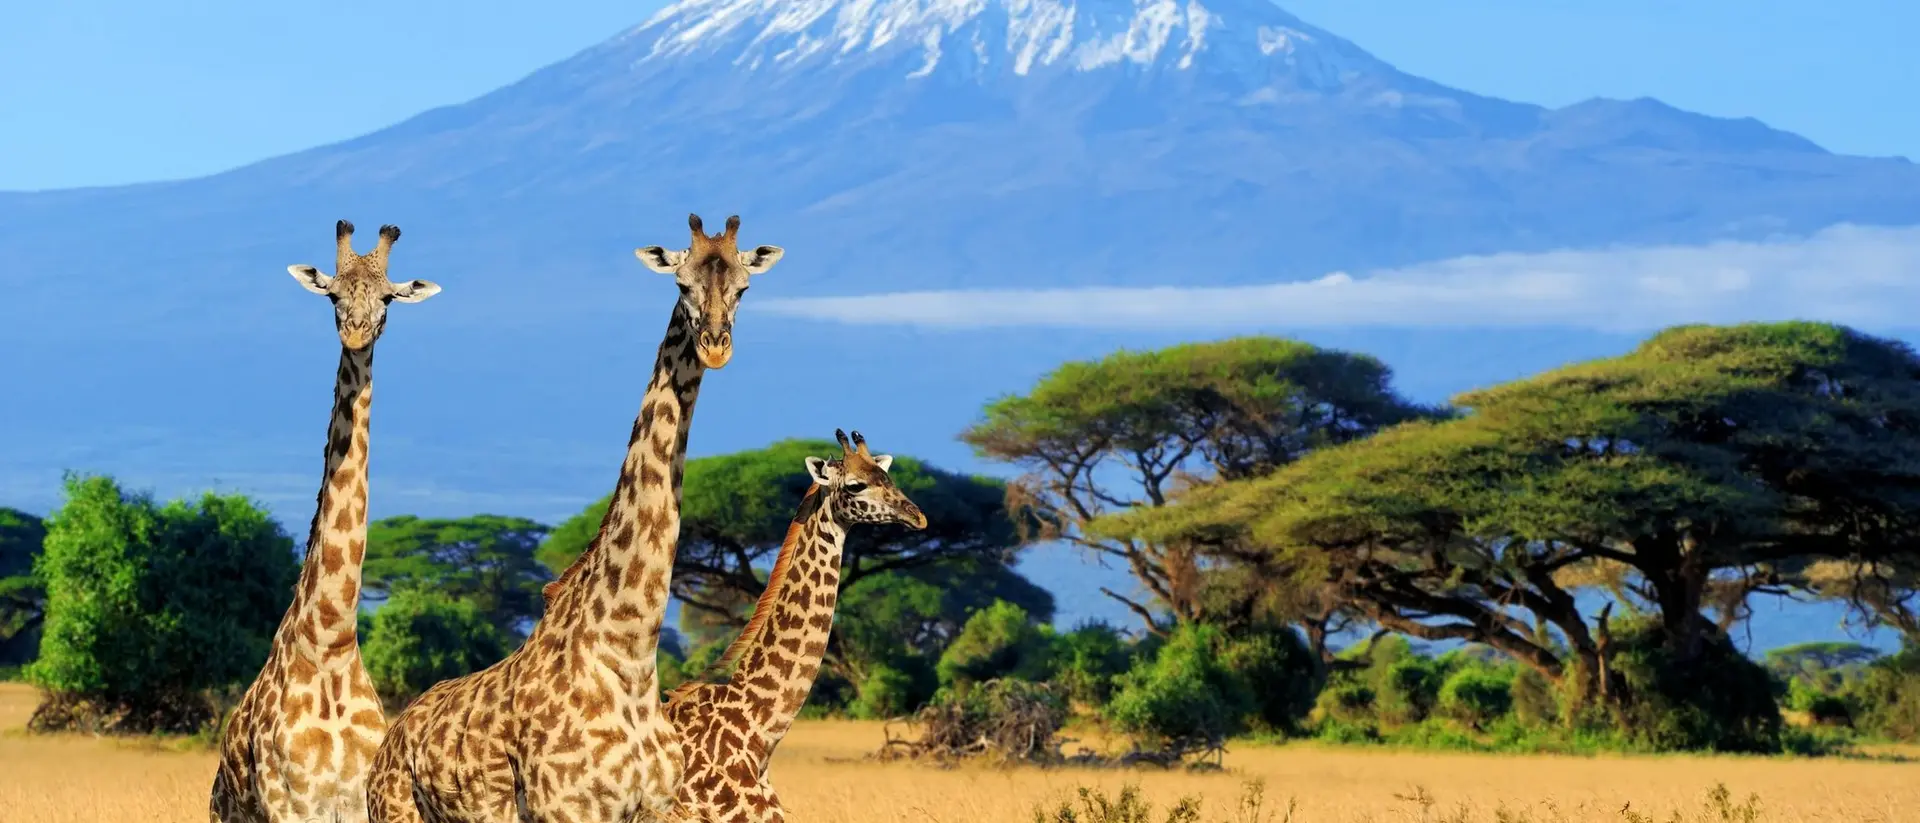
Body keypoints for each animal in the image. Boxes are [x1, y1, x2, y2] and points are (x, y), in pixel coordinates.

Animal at [210, 220, 442, 823]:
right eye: (334, 296)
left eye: (388, 298)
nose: (357, 335)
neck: (332, 642)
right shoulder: (291, 803)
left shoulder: (361, 799)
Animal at [366, 214, 784, 823]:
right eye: (680, 284)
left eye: (744, 287)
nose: (715, 347)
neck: (628, 653)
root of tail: (389, 742)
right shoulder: (568, 809)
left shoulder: (657, 807)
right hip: (393, 812)